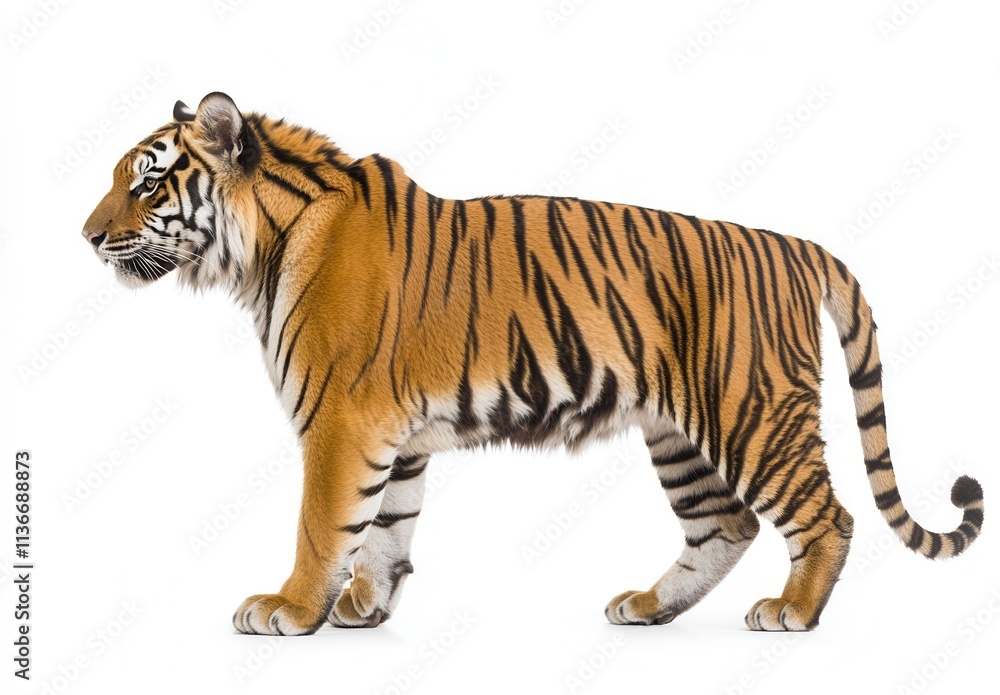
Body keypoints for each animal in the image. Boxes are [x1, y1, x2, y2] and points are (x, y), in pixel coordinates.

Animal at [82, 92, 984, 635]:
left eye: (148, 184)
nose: (87, 235)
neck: (259, 246)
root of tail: (796, 244)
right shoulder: (391, 432)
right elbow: (385, 525)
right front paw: (365, 604)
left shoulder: (340, 420)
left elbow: (322, 523)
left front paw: (291, 607)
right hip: (679, 432)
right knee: (725, 524)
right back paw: (649, 604)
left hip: (750, 410)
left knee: (826, 516)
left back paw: (791, 611)